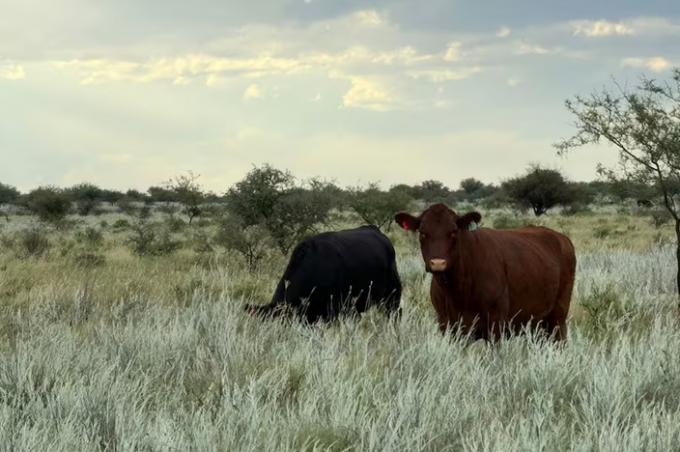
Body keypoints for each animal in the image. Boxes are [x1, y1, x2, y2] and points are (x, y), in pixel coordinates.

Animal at [395, 204, 575, 341]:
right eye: (423, 233)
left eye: (453, 232)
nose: (438, 263)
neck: (458, 290)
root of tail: (562, 238)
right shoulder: (447, 324)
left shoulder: (496, 324)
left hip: (559, 316)